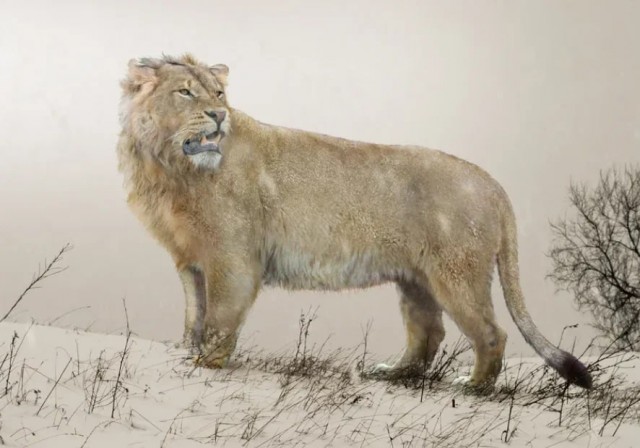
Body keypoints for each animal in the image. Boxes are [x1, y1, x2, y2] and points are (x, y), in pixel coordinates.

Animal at [116, 53, 592, 391]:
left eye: (218, 94)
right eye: (185, 93)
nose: (220, 116)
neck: (171, 169)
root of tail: (492, 182)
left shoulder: (232, 259)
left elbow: (218, 317)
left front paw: (209, 364)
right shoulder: (189, 260)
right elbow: (193, 314)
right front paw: (187, 354)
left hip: (457, 275)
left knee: (491, 333)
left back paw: (475, 386)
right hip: (416, 279)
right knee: (429, 333)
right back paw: (394, 373)